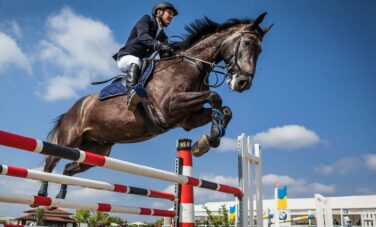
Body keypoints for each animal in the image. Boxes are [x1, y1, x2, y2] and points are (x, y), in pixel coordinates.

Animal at [38, 13, 272, 200]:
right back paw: (42, 193)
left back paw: (61, 195)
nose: (243, 83)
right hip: (70, 138)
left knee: (69, 166)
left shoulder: (187, 119)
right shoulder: (169, 107)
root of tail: (73, 108)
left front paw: (207, 140)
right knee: (50, 161)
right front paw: (210, 138)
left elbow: (225, 109)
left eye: (260, 50)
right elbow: (215, 97)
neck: (192, 65)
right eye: (248, 43)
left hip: (96, 150)